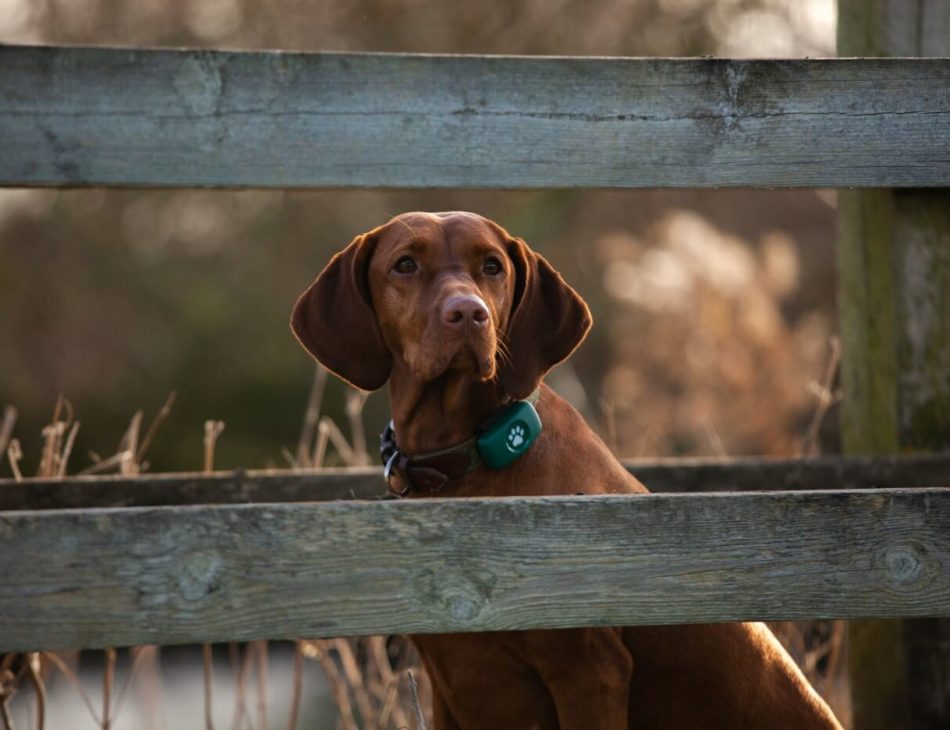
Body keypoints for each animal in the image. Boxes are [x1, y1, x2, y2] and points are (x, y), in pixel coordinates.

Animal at [294, 210, 844, 728]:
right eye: (405, 264)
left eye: (491, 266)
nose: (468, 313)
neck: (471, 456)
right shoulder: (447, 681)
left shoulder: (588, 671)